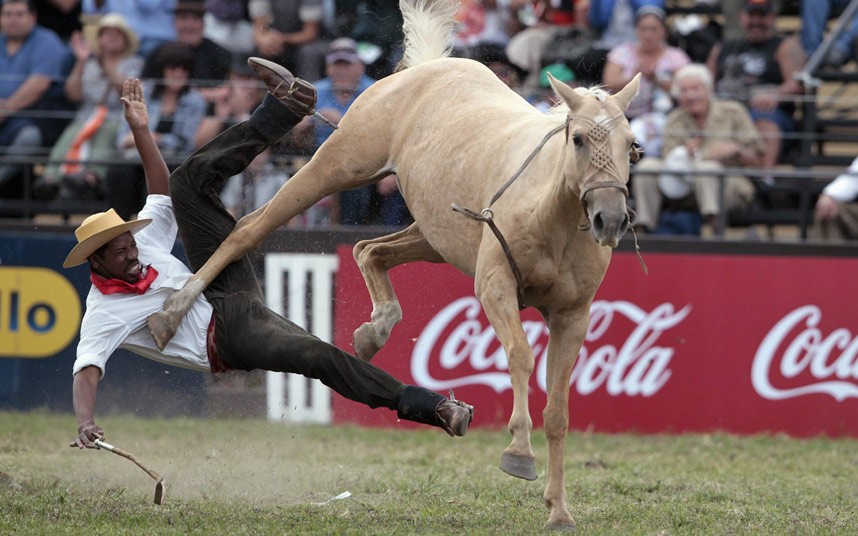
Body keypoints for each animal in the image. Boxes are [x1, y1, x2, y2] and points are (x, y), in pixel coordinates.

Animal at [150, 0, 640, 528]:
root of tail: (427, 68)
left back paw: (375, 329)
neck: (549, 211)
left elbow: (559, 412)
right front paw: (518, 455)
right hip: (339, 162)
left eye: (632, 145)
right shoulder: (494, 287)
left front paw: (558, 509)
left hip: (432, 232)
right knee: (248, 228)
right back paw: (170, 313)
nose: (610, 218)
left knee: (369, 251)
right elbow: (520, 357)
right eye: (578, 140)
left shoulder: (573, 315)